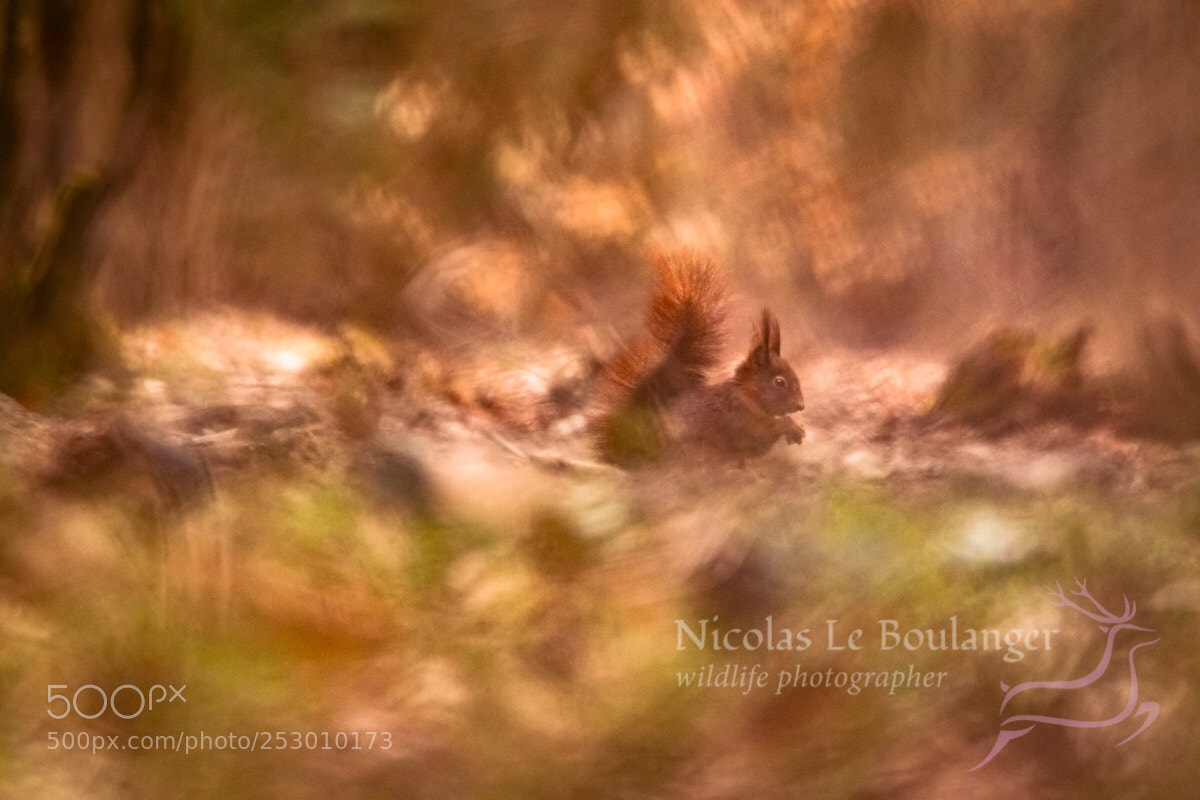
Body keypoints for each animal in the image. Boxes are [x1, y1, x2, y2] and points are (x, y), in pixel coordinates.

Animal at [593, 251, 805, 465]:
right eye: (779, 382)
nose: (800, 406)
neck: (746, 396)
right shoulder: (735, 418)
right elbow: (757, 437)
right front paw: (788, 426)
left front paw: (796, 427)